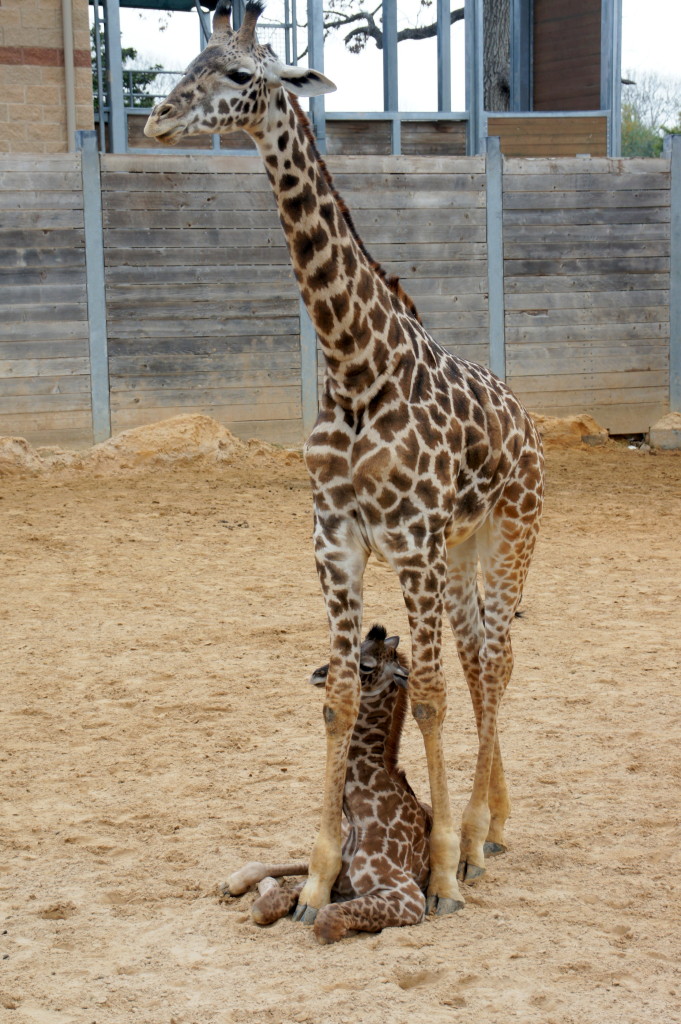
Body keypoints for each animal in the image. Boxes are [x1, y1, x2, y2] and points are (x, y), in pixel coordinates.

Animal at [220, 626, 438, 946]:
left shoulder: (408, 896)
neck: (364, 820)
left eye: (366, 665)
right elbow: (264, 907)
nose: (318, 673)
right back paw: (233, 881)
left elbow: (326, 920)